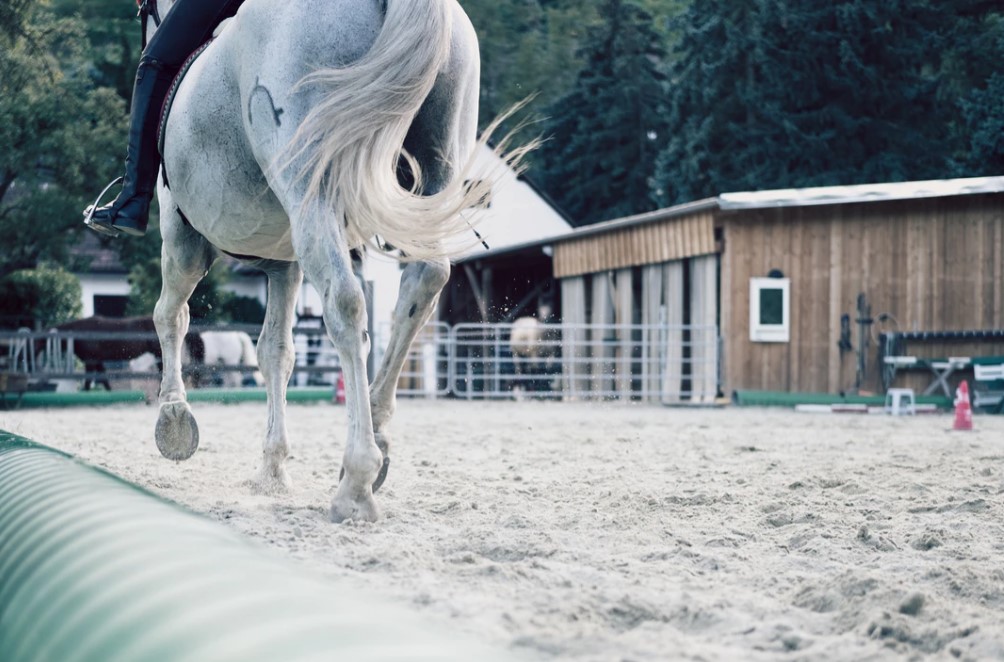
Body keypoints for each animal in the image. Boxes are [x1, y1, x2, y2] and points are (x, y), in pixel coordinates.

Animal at [150, 0, 526, 526]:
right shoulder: (282, 262)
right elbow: (276, 352)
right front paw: (272, 470)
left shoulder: (181, 234)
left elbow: (171, 316)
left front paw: (173, 418)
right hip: (436, 162)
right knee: (423, 282)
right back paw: (378, 439)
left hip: (310, 187)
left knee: (347, 306)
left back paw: (356, 480)